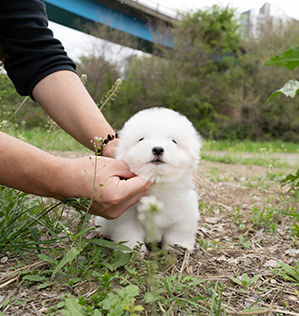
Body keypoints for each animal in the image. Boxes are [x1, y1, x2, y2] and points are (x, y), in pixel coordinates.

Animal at [96, 107, 202, 253]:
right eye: (141, 139)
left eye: (174, 141)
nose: (157, 149)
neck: (157, 186)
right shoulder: (126, 218)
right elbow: (129, 235)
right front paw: (132, 252)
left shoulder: (184, 213)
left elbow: (178, 232)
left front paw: (178, 248)